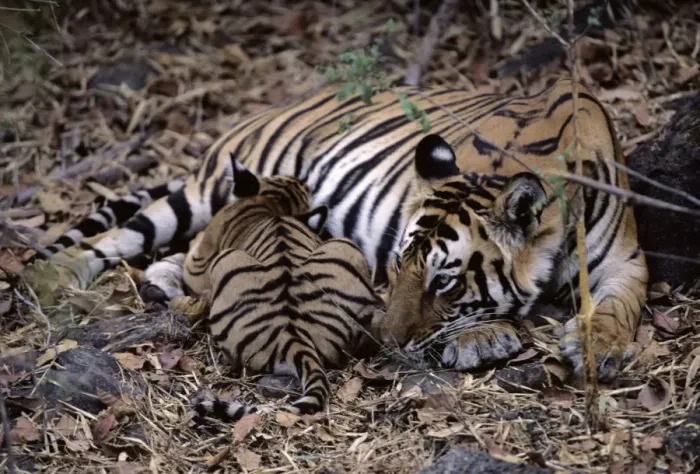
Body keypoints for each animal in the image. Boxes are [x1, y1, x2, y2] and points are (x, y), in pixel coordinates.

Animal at [25, 78, 648, 382]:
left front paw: (600, 347)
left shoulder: (627, 259)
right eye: (398, 264)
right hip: (213, 190)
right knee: (122, 237)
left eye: (445, 281)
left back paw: (162, 284)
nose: (385, 342)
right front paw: (485, 337)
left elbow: (622, 304)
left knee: (190, 256)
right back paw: (52, 278)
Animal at [143, 161, 384, 419]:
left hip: (228, 260)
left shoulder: (198, 260)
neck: (272, 202)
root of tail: (295, 337)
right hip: (344, 247)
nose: (299, 178)